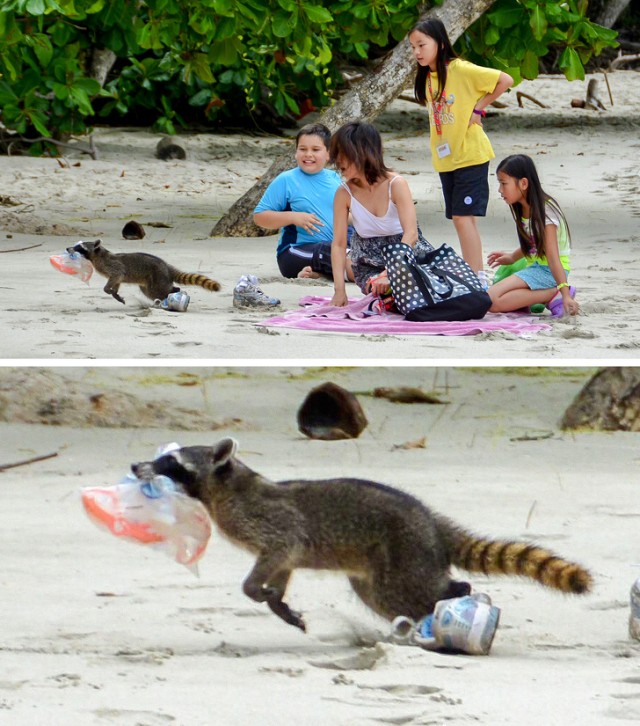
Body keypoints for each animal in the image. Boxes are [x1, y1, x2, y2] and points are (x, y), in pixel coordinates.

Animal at [68, 240, 221, 306]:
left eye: (79, 247)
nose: (67, 248)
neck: (98, 255)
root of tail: (166, 266)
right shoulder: (114, 273)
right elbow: (118, 281)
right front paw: (115, 293)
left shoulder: (113, 266)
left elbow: (118, 275)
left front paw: (108, 290)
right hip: (150, 281)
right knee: (150, 292)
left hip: (158, 277)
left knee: (159, 291)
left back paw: (174, 293)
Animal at [131, 438, 596, 632]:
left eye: (171, 461)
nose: (136, 466)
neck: (224, 487)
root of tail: (431, 521)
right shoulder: (283, 547)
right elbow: (284, 565)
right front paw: (278, 601)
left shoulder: (272, 523)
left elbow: (281, 547)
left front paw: (256, 591)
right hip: (381, 566)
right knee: (381, 598)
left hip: (405, 552)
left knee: (411, 591)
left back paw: (455, 598)